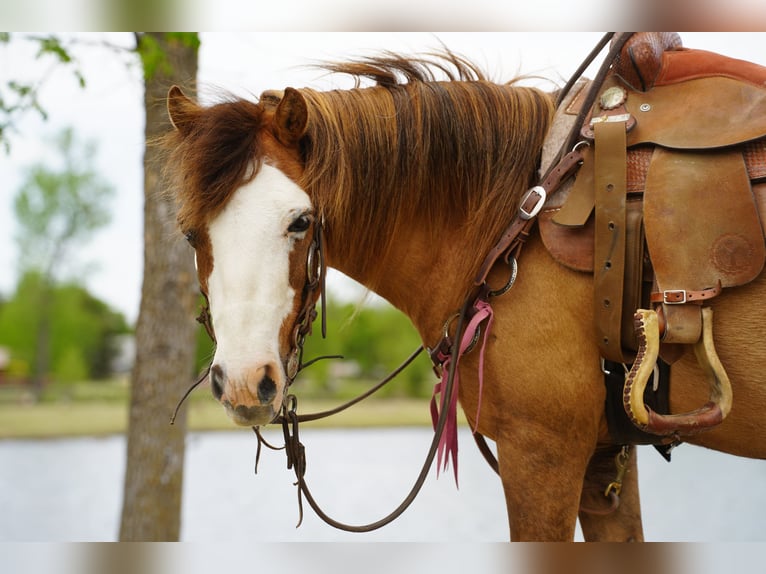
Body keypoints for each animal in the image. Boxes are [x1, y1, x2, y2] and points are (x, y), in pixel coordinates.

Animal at [163, 46, 766, 541]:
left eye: (301, 221)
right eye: (190, 233)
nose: (244, 382)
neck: (513, 218)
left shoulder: (542, 451)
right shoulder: (605, 458)